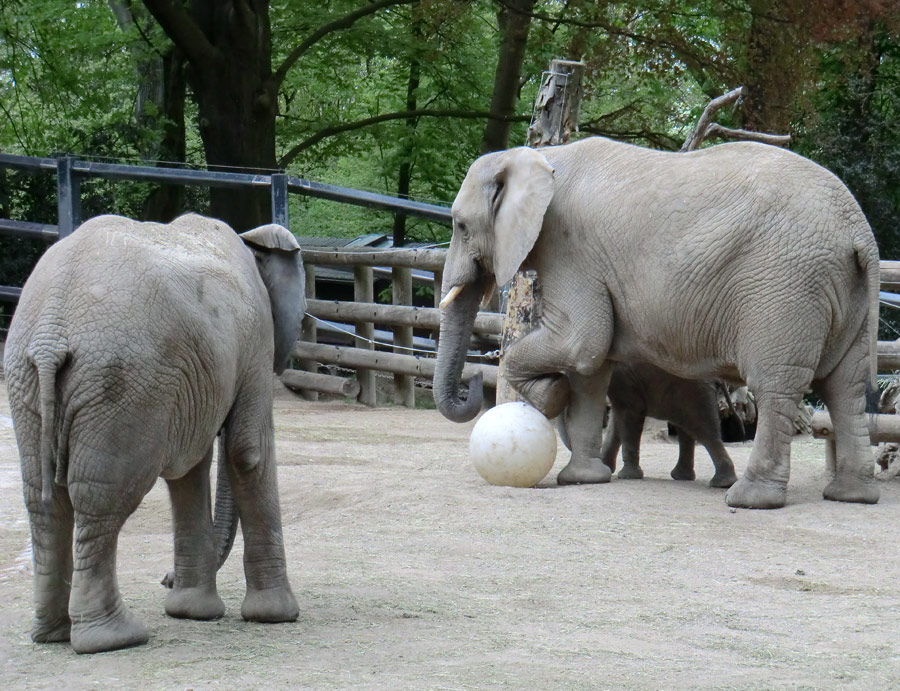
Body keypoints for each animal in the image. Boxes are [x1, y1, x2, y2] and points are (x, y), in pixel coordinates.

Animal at [1, 212, 306, 656]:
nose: (164, 577)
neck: (251, 239)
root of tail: (49, 335)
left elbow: (191, 468)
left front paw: (191, 612)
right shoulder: (255, 342)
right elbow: (247, 451)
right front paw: (277, 616)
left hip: (27, 379)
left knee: (45, 499)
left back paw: (53, 633)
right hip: (120, 382)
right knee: (99, 497)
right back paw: (113, 638)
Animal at [556, 362, 740, 486]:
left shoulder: (624, 378)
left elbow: (628, 415)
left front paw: (626, 476)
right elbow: (617, 421)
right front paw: (607, 467)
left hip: (695, 390)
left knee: (703, 430)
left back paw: (722, 483)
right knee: (687, 429)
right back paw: (683, 477)